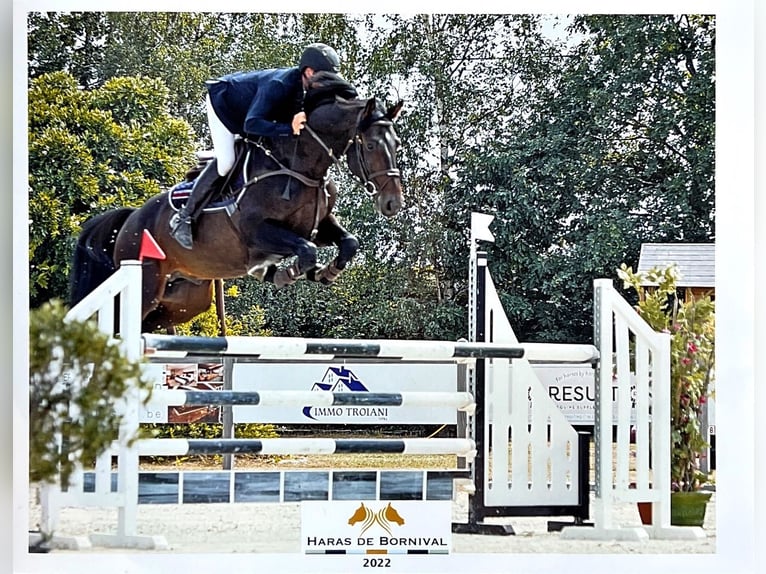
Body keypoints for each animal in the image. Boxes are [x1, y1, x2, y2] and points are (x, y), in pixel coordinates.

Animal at [70, 79, 404, 336]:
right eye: (370, 146)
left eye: (396, 143)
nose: (393, 203)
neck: (300, 167)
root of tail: (131, 218)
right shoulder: (256, 232)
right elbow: (306, 250)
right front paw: (287, 273)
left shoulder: (318, 225)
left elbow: (348, 242)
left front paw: (327, 272)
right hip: (144, 284)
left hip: (186, 297)